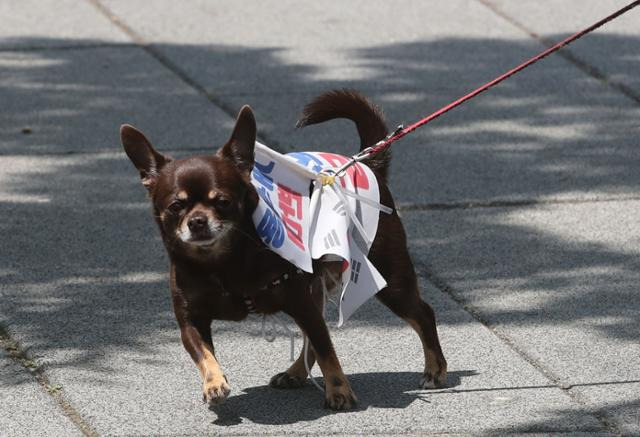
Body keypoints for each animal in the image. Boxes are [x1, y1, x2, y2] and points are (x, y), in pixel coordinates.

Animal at [122, 88, 448, 408]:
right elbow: (204, 355)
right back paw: (295, 373)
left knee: (422, 314)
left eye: (223, 201)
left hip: (388, 279)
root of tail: (366, 164)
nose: (197, 222)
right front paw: (214, 383)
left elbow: (327, 349)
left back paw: (434, 369)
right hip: (317, 288)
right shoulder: (191, 321)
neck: (221, 262)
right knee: (314, 338)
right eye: (176, 206)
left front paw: (339, 389)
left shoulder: (299, 301)